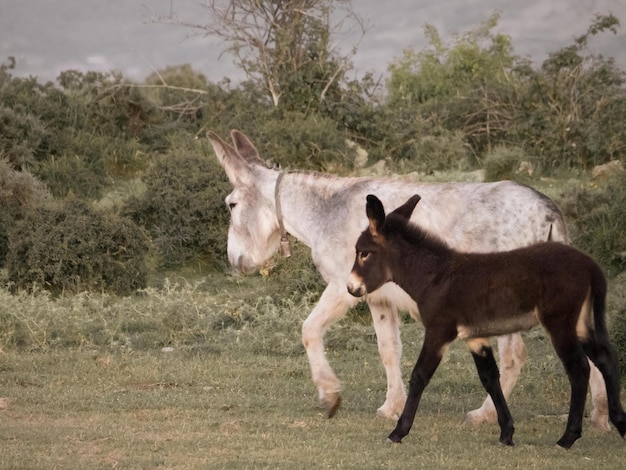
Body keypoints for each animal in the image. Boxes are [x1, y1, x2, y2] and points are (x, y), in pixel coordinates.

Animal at [346, 194, 624, 448]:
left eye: (364, 254)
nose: (351, 288)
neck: (435, 277)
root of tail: (589, 264)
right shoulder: (475, 337)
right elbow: (490, 378)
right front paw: (507, 433)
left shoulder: (438, 331)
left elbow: (419, 376)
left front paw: (398, 432)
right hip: (580, 323)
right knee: (605, 359)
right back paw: (619, 422)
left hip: (559, 322)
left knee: (579, 369)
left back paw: (568, 438)